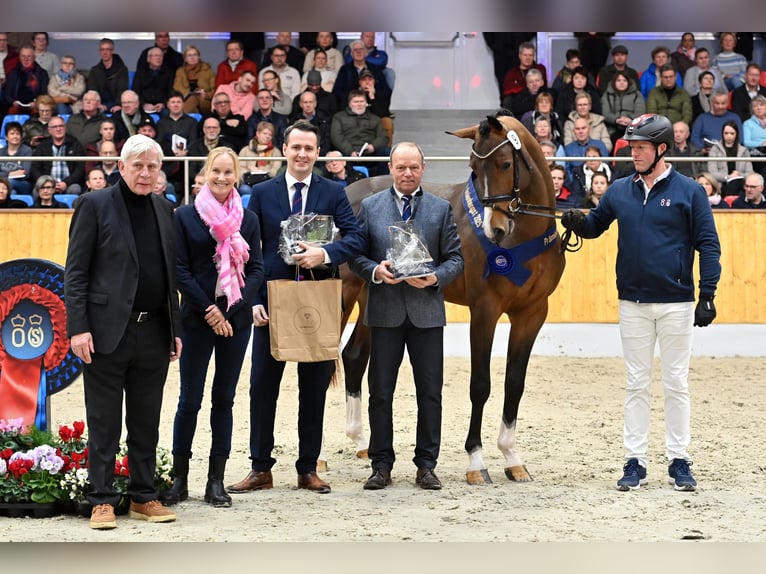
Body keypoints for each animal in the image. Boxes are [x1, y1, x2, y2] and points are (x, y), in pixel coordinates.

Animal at [338, 112, 568, 486]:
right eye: (474, 168)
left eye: (505, 164)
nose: (494, 230)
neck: (522, 238)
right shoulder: (485, 310)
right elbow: (481, 385)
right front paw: (477, 461)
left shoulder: (532, 313)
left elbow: (514, 383)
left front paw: (512, 458)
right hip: (343, 293)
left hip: (371, 299)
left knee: (354, 356)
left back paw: (361, 442)